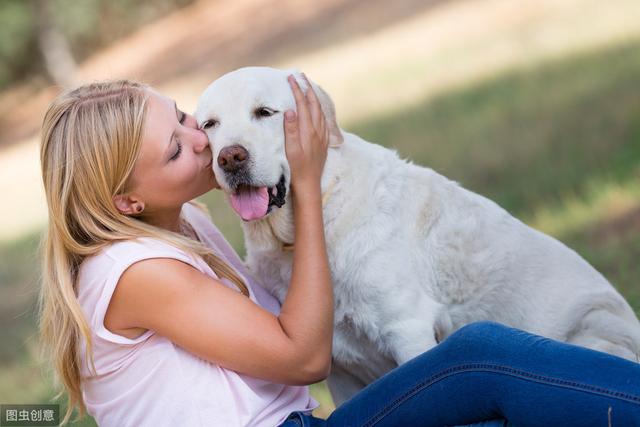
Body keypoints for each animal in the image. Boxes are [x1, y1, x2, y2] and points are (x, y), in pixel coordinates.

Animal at [195, 66, 640, 404]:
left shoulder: (407, 329)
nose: (230, 157)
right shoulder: (334, 366)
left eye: (265, 112)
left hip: (597, 332)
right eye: (209, 125)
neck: (315, 218)